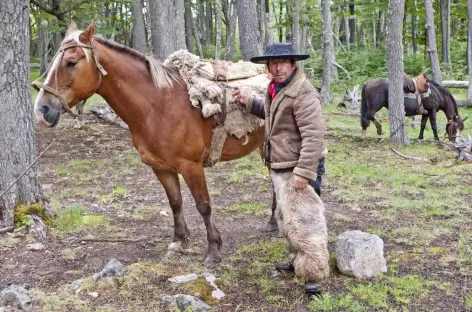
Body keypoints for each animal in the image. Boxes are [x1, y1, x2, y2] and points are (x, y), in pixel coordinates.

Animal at [31, 21, 266, 266]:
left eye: (71, 62)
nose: (42, 110)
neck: (158, 105)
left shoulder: (191, 166)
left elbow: (204, 206)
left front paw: (213, 250)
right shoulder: (161, 168)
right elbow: (175, 202)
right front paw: (179, 242)